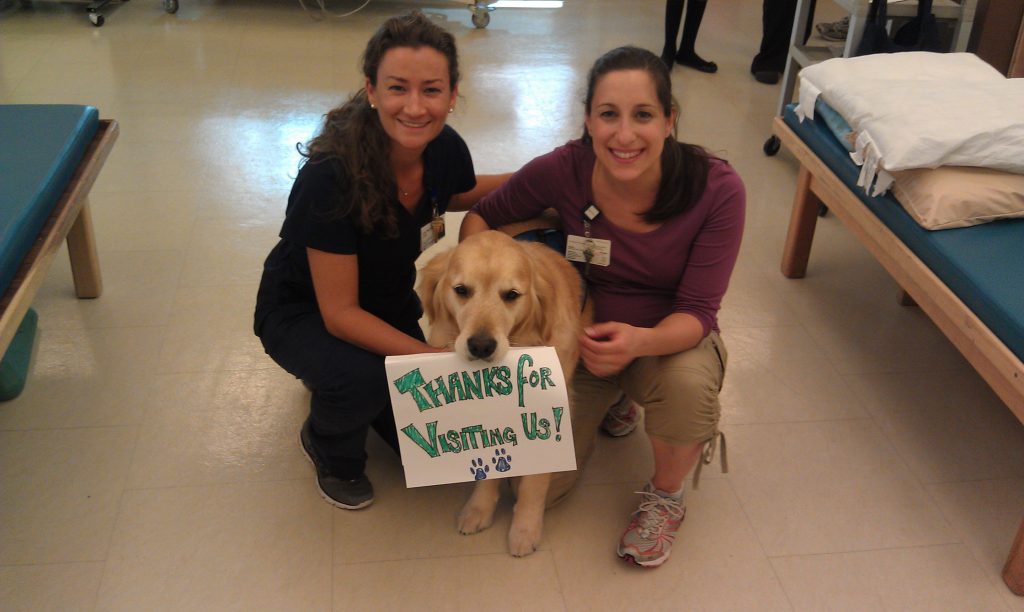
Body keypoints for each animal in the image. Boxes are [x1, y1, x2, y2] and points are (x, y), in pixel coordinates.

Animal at [417, 231, 593, 560]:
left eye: (511, 295)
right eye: (461, 290)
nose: (481, 346)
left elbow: (535, 482)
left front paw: (525, 529)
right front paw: (479, 508)